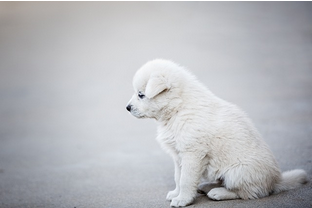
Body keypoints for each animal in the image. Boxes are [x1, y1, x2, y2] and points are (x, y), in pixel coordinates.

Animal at [125, 59, 306, 207]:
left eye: (141, 95)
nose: (127, 108)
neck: (178, 108)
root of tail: (276, 181)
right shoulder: (178, 155)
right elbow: (178, 176)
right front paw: (176, 194)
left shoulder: (192, 154)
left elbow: (186, 179)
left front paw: (182, 200)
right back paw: (207, 186)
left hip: (237, 172)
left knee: (248, 193)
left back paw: (218, 193)